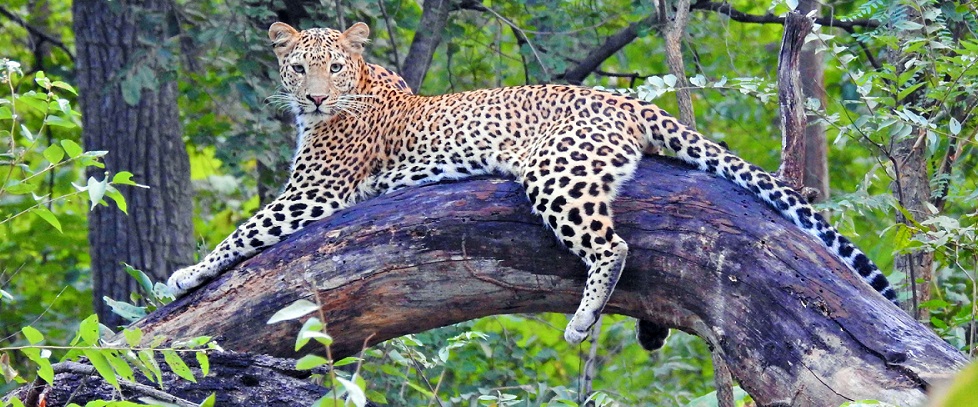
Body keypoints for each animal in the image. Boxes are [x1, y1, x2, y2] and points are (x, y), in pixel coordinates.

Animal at [166, 19, 892, 344]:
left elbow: (246, 231)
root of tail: (625, 99)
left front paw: (183, 275)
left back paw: (582, 319)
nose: (315, 97)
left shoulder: (316, 191)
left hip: (557, 173)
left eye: (335, 67)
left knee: (613, 246)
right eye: (297, 68)